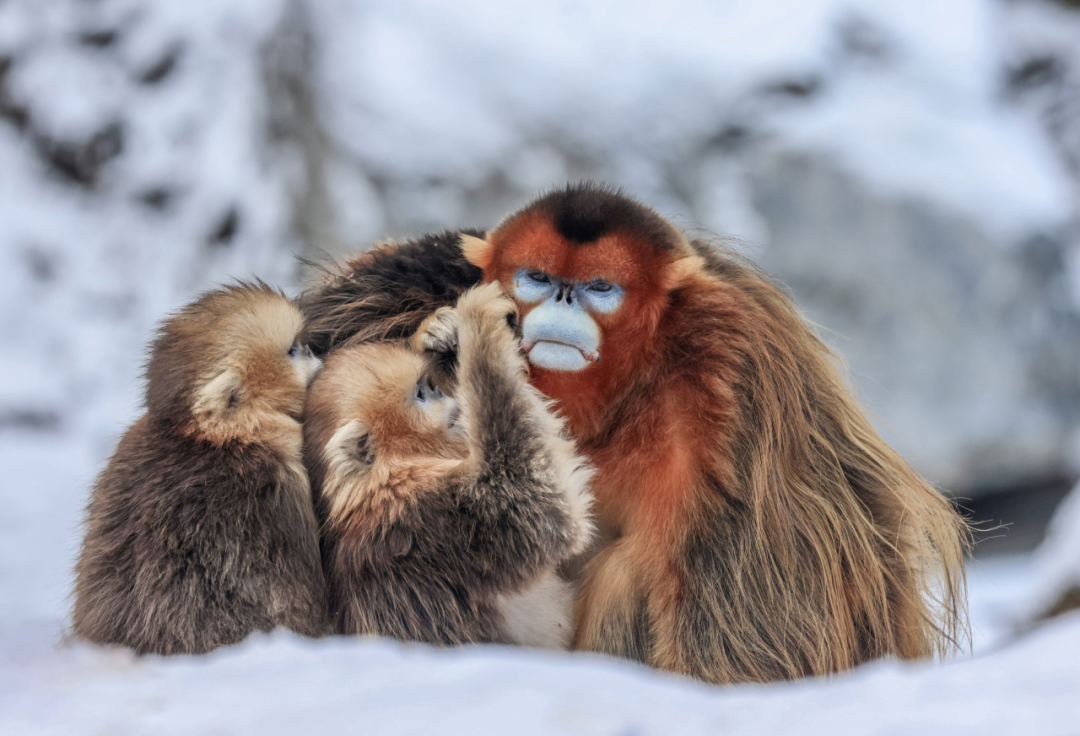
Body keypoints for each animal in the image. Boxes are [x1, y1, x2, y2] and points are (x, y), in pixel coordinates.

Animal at [302, 280, 591, 644]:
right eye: (421, 395)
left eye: (429, 386)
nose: (446, 397)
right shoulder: (423, 513)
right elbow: (540, 508)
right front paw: (479, 316)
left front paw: (439, 335)